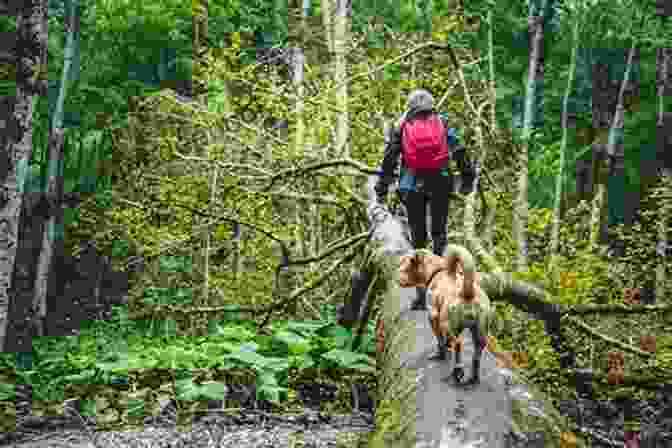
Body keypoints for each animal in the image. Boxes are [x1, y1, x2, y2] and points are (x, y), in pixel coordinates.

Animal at [400, 245, 488, 384]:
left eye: (404, 268)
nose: (396, 278)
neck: (436, 270)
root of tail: (467, 293)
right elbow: (445, 339)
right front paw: (447, 345)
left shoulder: (433, 316)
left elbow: (440, 339)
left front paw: (440, 353)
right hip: (480, 329)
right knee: (477, 351)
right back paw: (473, 377)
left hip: (447, 323)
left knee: (458, 344)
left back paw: (457, 371)